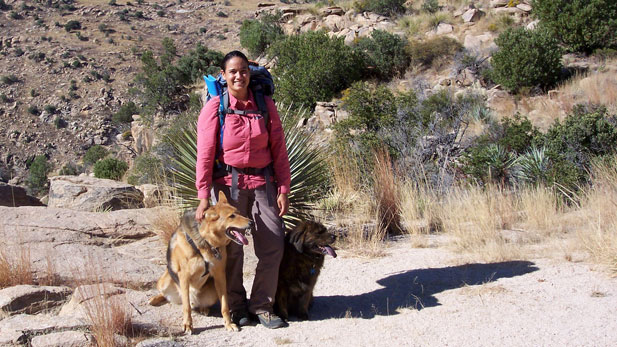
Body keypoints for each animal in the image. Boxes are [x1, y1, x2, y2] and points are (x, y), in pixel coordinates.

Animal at [148, 192, 251, 336]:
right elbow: (186, 307)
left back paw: (204, 308)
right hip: (165, 281)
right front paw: (187, 325)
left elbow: (225, 305)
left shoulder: (220, 276)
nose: (251, 223)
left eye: (239, 213)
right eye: (232, 216)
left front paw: (228, 324)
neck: (205, 241)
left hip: (213, 291)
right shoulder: (184, 277)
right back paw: (155, 299)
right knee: (173, 297)